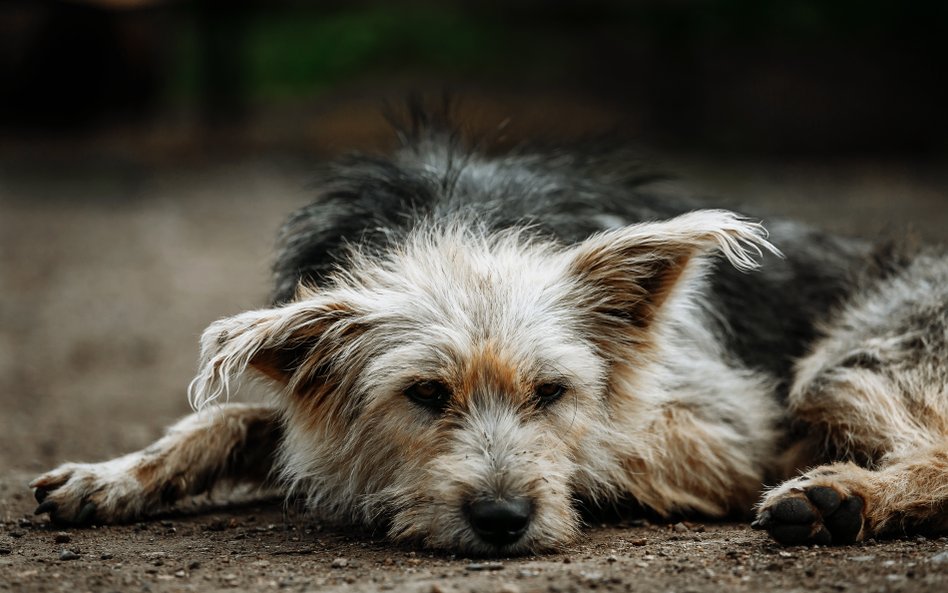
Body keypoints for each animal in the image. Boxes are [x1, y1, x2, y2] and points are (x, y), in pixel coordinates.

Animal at [29, 107, 948, 556]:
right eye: (424, 394)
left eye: (554, 391)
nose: (503, 518)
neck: (459, 227)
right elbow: (243, 419)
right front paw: (115, 477)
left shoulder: (726, 430)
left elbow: (606, 444)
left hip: (851, 360)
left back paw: (843, 497)